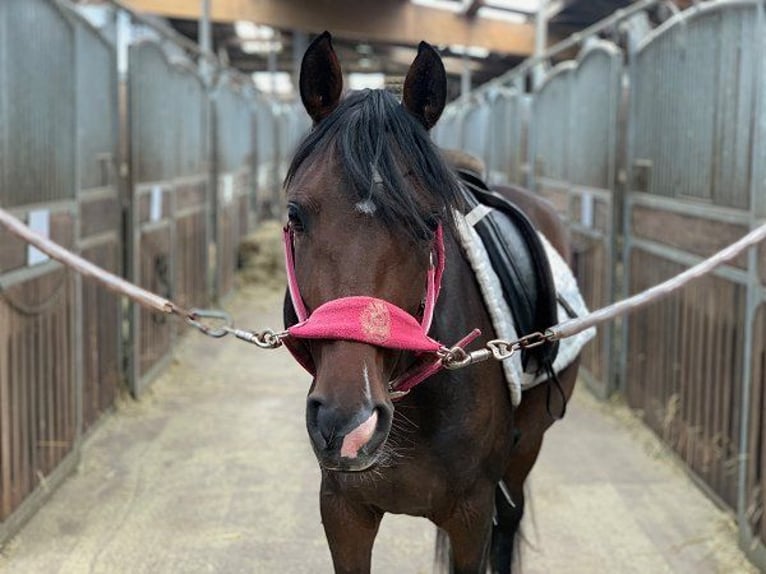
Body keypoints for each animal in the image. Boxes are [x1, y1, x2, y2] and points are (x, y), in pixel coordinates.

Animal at [282, 32, 584, 574]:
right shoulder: (343, 511)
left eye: (428, 223)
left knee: (510, 521)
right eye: (295, 215)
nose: (349, 424)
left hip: (527, 447)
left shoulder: (471, 516)